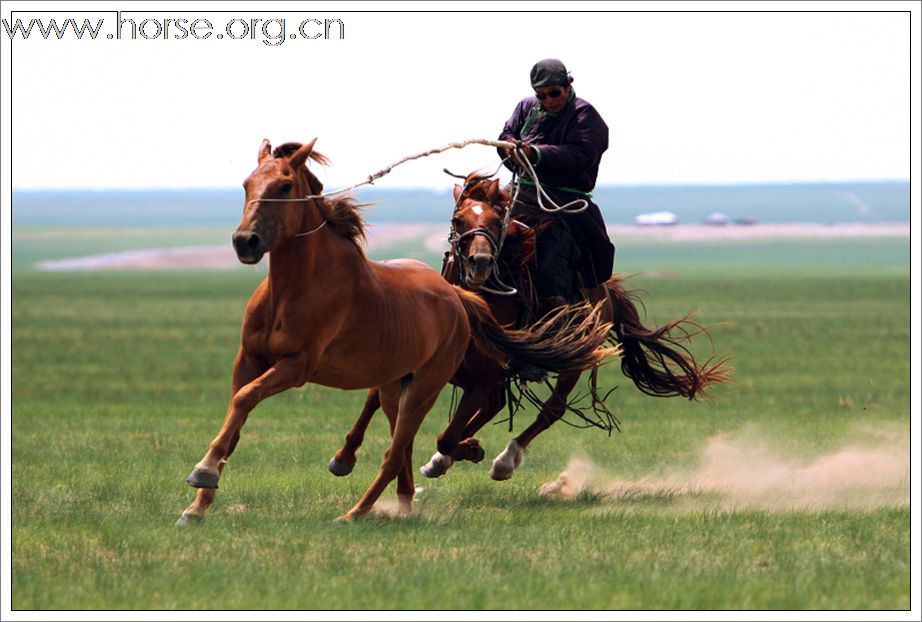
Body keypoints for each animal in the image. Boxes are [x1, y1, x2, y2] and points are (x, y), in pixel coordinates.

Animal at [178, 141, 620, 528]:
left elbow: (245, 399)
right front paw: (198, 506)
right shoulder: (249, 359)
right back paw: (408, 491)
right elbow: (238, 413)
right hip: (399, 381)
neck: (296, 287)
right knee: (403, 437)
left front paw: (202, 472)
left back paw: (369, 507)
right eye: (247, 183)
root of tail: (457, 296)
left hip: (434, 382)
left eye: (285, 186)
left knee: (418, 444)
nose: (245, 241)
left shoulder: (296, 366)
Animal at [328, 173, 724, 486]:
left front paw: (467, 451)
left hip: (569, 365)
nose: (480, 262)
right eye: (458, 220)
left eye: (496, 220)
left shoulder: (484, 377)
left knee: (551, 410)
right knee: (495, 406)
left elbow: (447, 435)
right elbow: (374, 398)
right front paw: (343, 457)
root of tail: (604, 291)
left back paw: (503, 460)